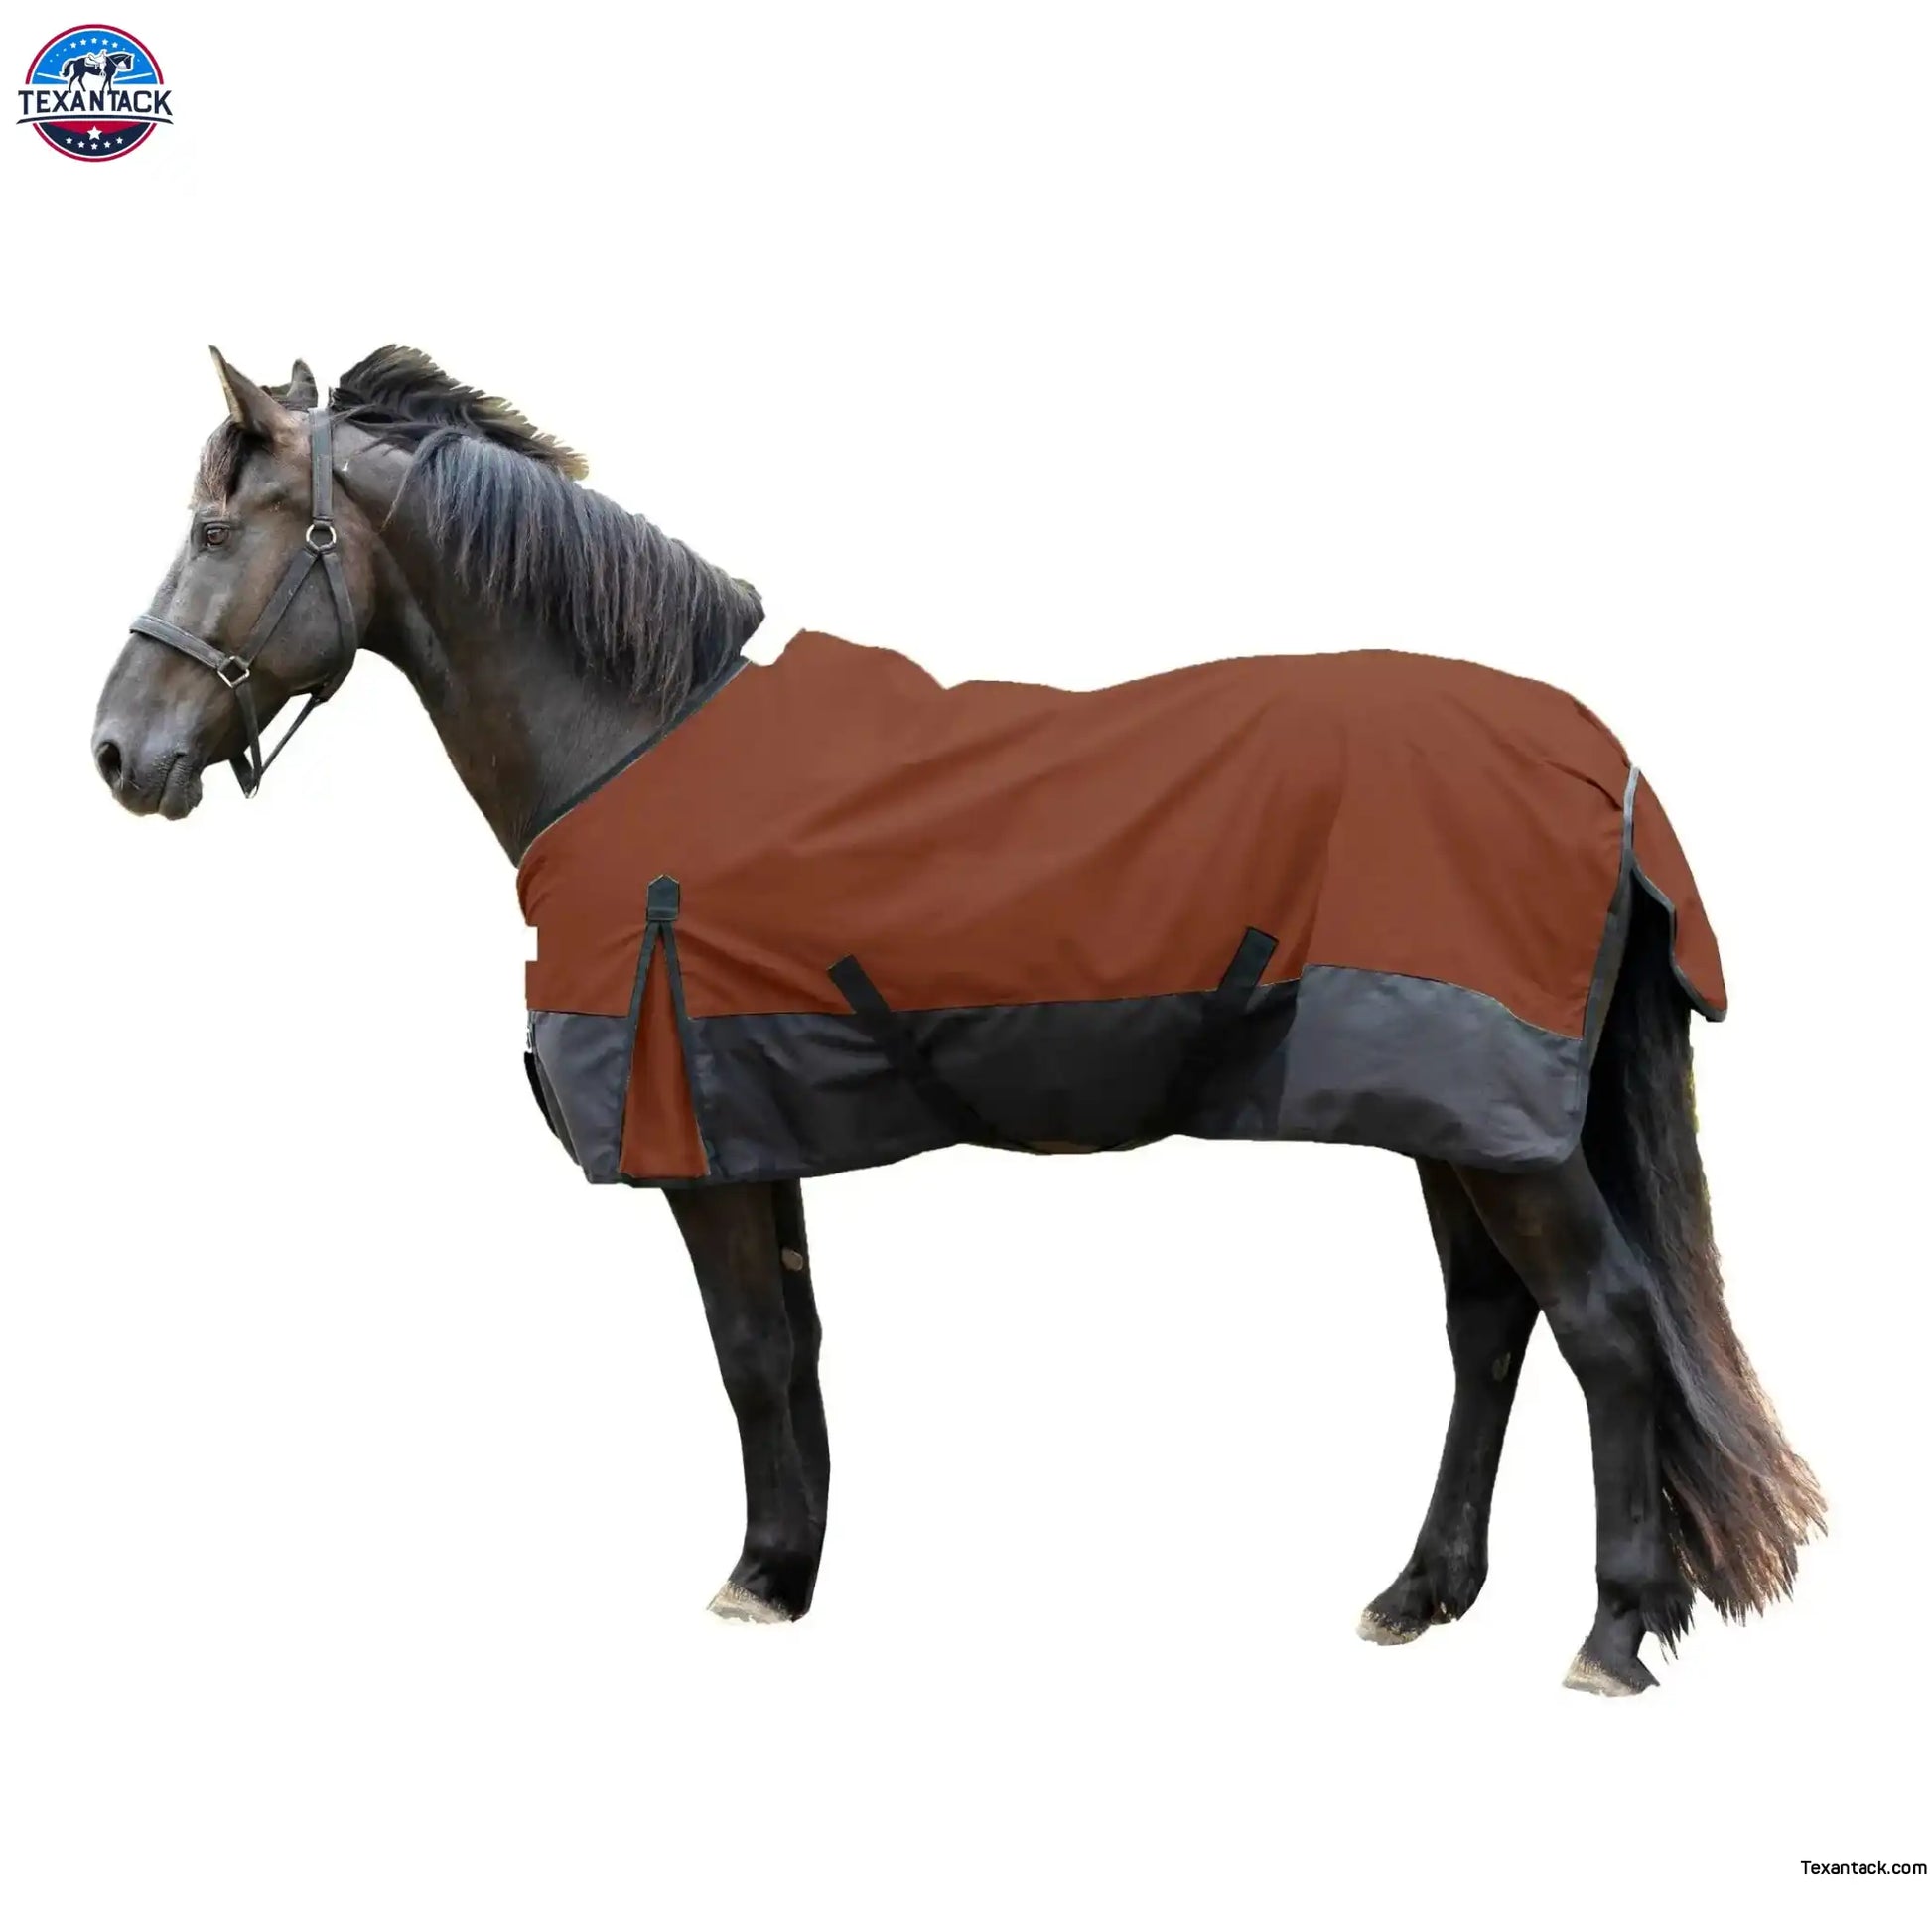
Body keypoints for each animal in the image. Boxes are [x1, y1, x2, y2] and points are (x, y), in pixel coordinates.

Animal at [90, 345, 1824, 1694]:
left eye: (212, 528)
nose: (115, 750)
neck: (633, 742)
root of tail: (1600, 768)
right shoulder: (750, 1123)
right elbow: (789, 1346)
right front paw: (788, 1565)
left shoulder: (697, 1138)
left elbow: (746, 1348)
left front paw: (754, 1577)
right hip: (1448, 1116)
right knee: (1488, 1328)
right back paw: (1420, 1594)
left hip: (1500, 1129)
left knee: (1604, 1328)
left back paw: (1610, 1631)